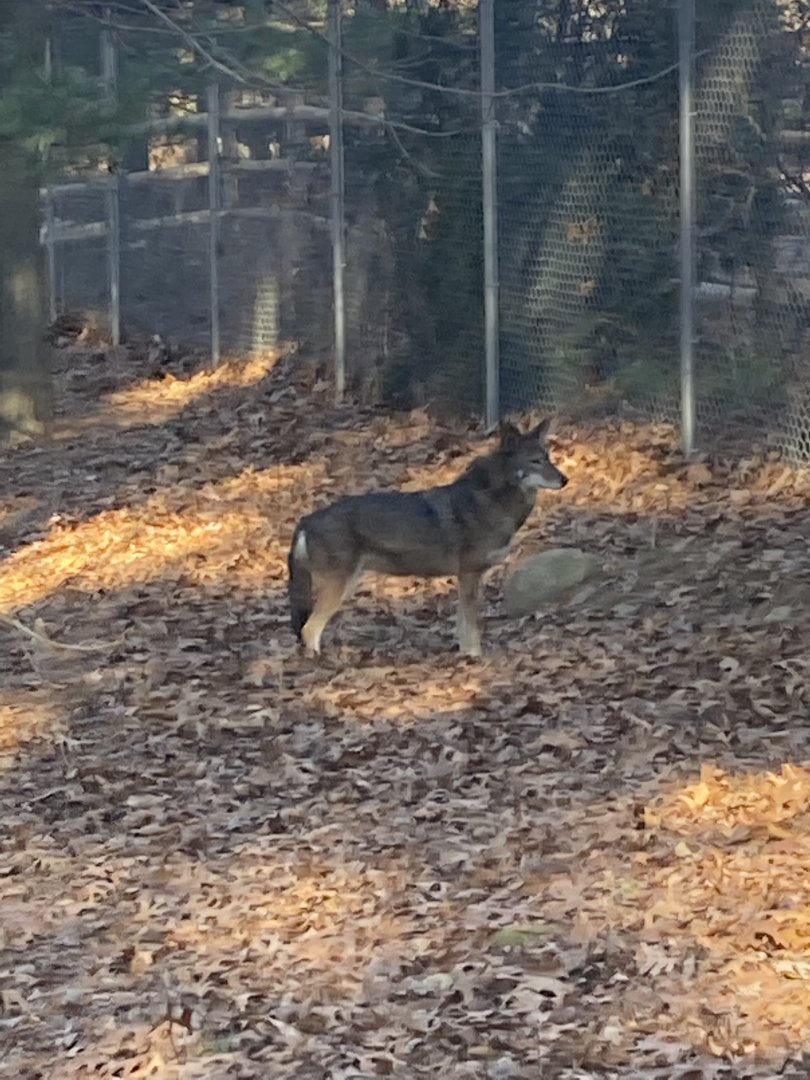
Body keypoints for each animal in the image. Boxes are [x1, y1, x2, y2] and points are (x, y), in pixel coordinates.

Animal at [287, 418, 568, 657]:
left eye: (548, 458)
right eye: (535, 461)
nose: (565, 480)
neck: (491, 501)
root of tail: (305, 519)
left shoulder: (467, 578)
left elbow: (461, 625)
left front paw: (465, 655)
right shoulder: (469, 574)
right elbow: (471, 627)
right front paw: (475, 659)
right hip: (340, 586)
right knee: (309, 629)